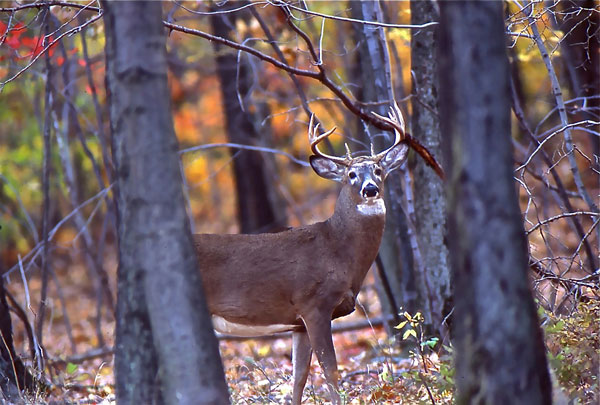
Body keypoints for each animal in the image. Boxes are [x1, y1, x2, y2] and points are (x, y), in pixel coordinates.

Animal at [195, 102, 410, 402]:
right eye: (351, 175)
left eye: (378, 170)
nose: (370, 189)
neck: (337, 251)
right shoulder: (314, 304)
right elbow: (330, 369)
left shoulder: (297, 322)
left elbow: (299, 376)